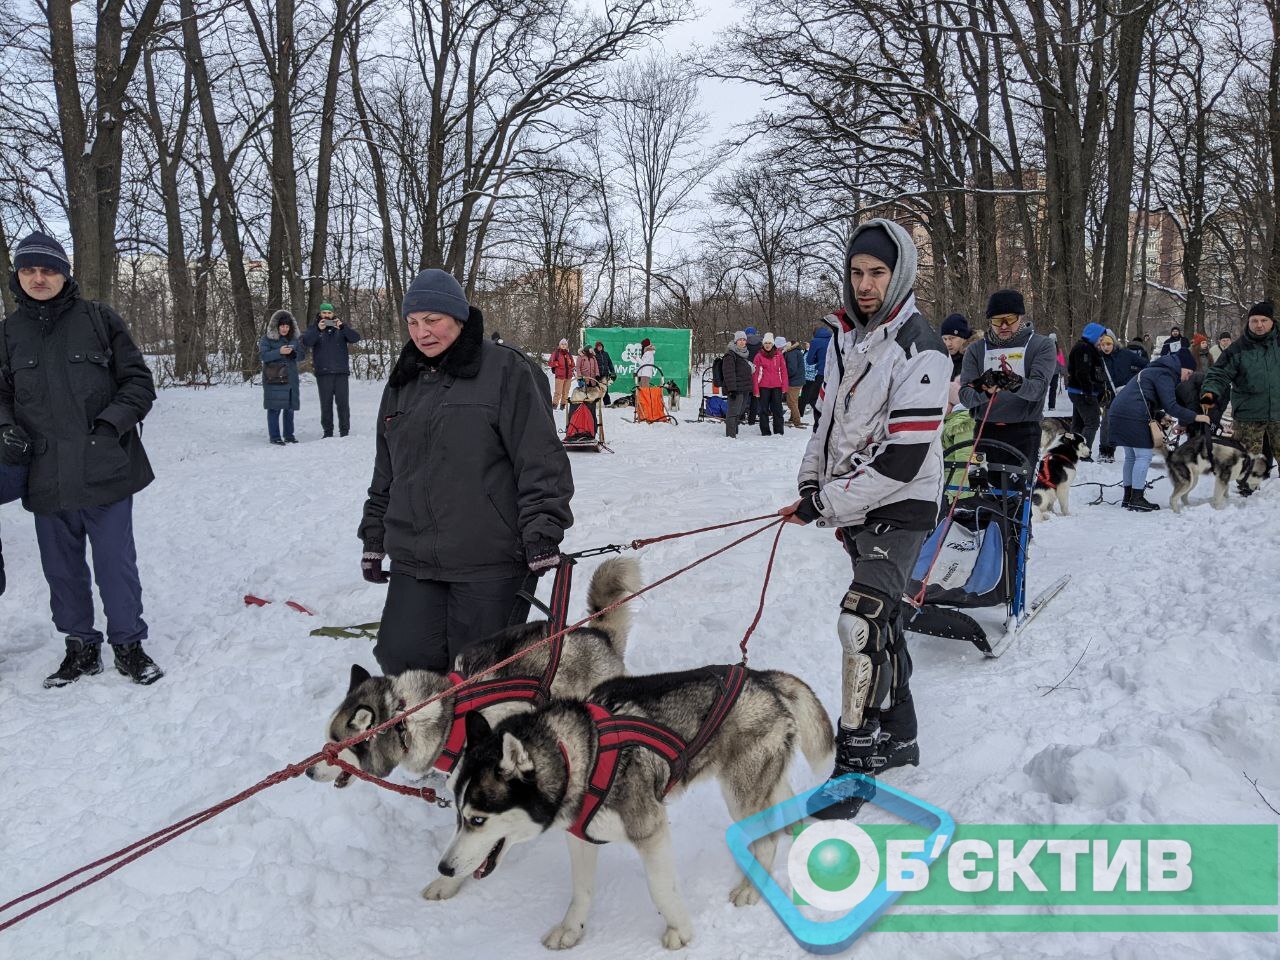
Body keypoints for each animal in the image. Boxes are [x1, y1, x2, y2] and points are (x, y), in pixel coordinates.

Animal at [440, 670, 834, 957]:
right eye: (457, 815)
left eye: (478, 819)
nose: (443, 869)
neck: (580, 756)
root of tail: (762, 677)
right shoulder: (580, 836)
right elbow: (581, 891)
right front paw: (571, 929)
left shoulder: (651, 831)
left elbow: (660, 889)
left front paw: (680, 931)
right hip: (755, 784)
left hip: (740, 792)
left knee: (764, 840)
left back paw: (752, 886)